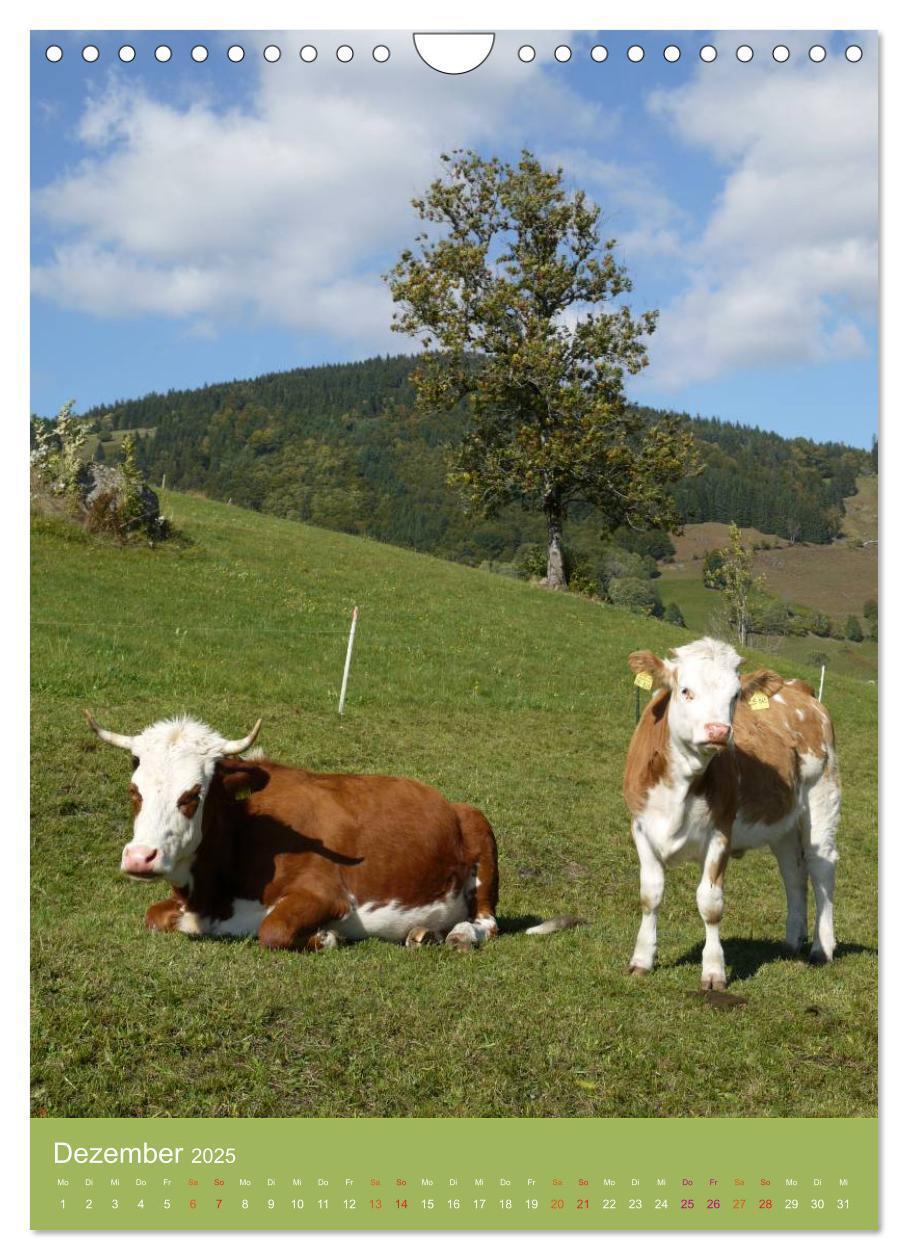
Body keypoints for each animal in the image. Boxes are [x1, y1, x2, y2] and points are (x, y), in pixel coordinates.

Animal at [88, 710, 576, 947]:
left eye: (192, 794)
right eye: (134, 790)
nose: (140, 858)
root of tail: (451, 802)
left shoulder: (326, 893)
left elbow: (272, 931)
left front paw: (325, 937)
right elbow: (152, 917)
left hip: (482, 838)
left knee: (486, 922)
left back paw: (457, 936)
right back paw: (424, 933)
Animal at [619, 635, 841, 987]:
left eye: (735, 695)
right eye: (686, 690)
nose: (719, 731)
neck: (681, 784)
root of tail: (800, 689)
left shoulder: (720, 832)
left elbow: (710, 903)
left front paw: (713, 970)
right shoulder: (641, 827)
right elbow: (650, 895)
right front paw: (641, 959)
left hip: (823, 797)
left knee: (822, 868)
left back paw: (822, 947)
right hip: (783, 823)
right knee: (793, 873)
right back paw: (792, 941)